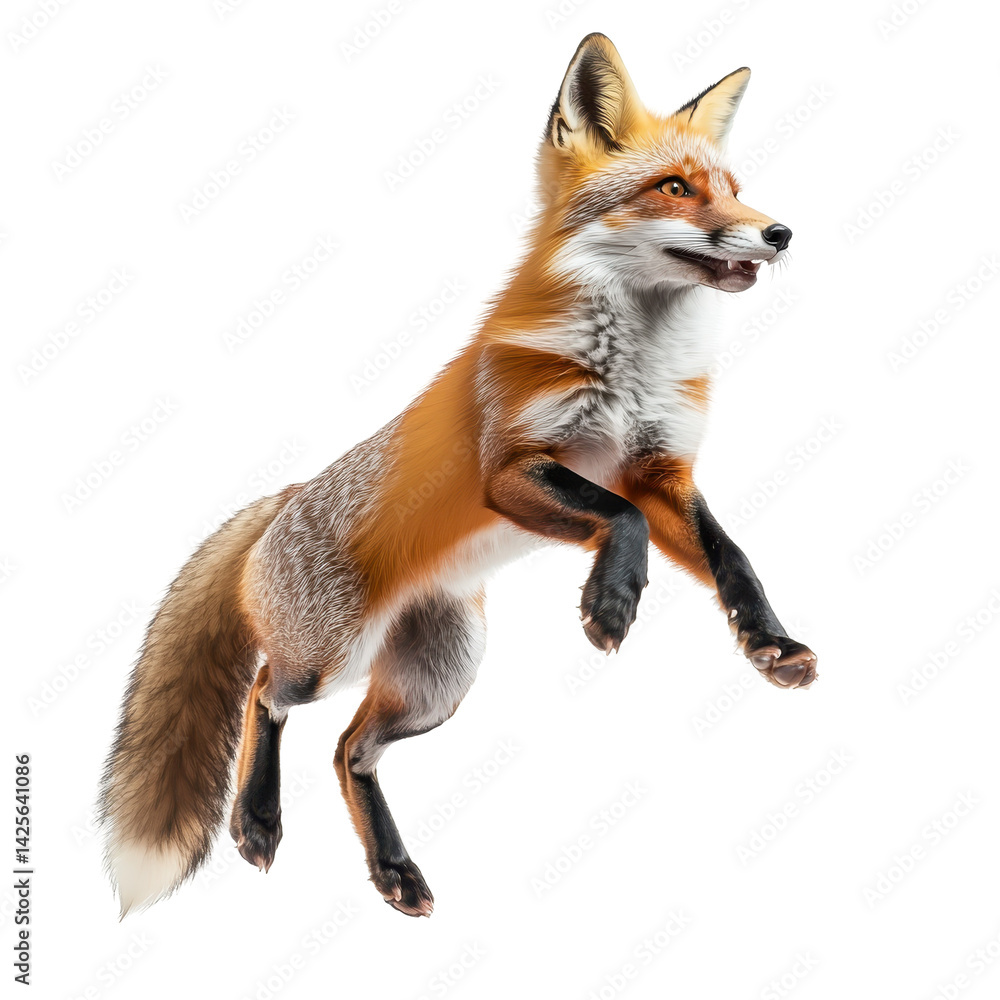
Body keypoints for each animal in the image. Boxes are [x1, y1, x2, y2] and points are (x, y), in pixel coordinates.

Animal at [99, 32, 817, 919]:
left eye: (735, 190)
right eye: (675, 188)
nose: (781, 232)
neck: (633, 368)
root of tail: (287, 497)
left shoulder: (659, 471)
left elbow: (730, 555)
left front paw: (769, 641)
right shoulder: (511, 471)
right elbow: (619, 520)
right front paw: (611, 603)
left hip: (437, 683)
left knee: (351, 752)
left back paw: (393, 870)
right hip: (325, 662)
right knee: (264, 693)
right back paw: (258, 821)